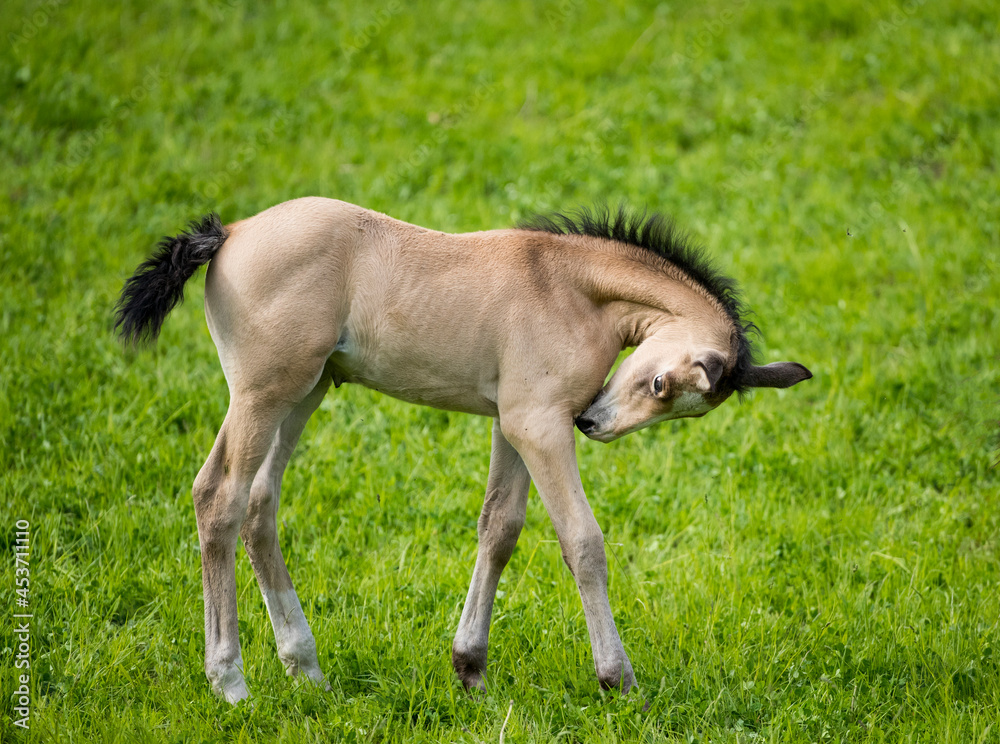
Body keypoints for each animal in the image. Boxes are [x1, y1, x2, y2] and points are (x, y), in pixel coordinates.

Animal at [115, 198, 812, 704]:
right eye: (662, 384)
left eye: (671, 399)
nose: (593, 423)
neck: (568, 287)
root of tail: (231, 232)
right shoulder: (541, 425)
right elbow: (583, 542)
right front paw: (618, 680)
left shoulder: (514, 423)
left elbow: (499, 528)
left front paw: (470, 667)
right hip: (263, 393)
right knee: (219, 496)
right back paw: (230, 683)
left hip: (305, 391)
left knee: (260, 504)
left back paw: (306, 670)